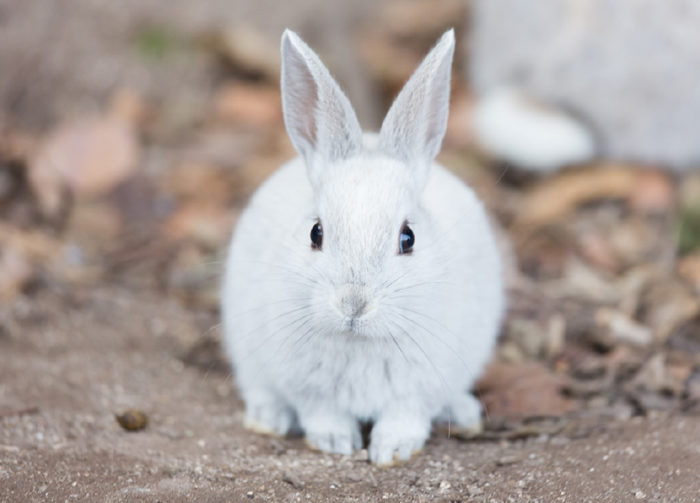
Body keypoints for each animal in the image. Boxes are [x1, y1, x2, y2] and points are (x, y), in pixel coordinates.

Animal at [224, 29, 504, 466]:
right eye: (315, 233)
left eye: (408, 238)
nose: (352, 305)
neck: (358, 341)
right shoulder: (308, 389)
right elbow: (323, 414)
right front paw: (335, 442)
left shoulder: (417, 390)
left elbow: (405, 418)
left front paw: (392, 450)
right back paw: (269, 417)